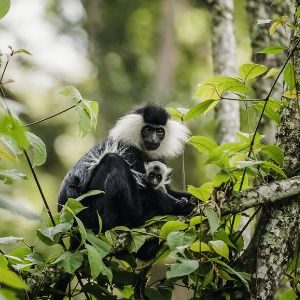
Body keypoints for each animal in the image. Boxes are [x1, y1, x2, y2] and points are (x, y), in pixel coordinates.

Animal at [58, 104, 195, 233]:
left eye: (160, 131)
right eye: (147, 129)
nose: (153, 139)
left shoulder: (159, 159)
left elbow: (167, 189)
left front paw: (192, 198)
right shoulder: (131, 152)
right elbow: (144, 191)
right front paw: (181, 206)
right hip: (87, 211)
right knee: (113, 160)